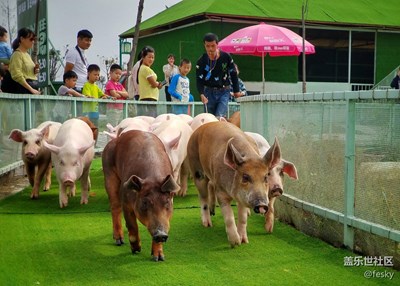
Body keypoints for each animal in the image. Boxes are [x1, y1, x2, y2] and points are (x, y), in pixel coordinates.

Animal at [102, 130, 179, 262]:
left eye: (167, 202)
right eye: (145, 202)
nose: (161, 234)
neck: (153, 176)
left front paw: (159, 258)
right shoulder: (126, 201)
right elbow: (132, 226)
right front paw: (136, 249)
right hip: (108, 172)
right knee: (115, 206)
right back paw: (119, 241)